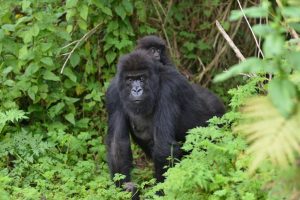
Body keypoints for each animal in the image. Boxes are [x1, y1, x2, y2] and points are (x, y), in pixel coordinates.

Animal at [106, 49, 224, 199]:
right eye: (130, 79)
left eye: (142, 78)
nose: (136, 90)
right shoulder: (114, 92)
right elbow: (117, 145)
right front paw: (122, 190)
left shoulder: (170, 89)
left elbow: (163, 147)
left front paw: (160, 193)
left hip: (217, 118)